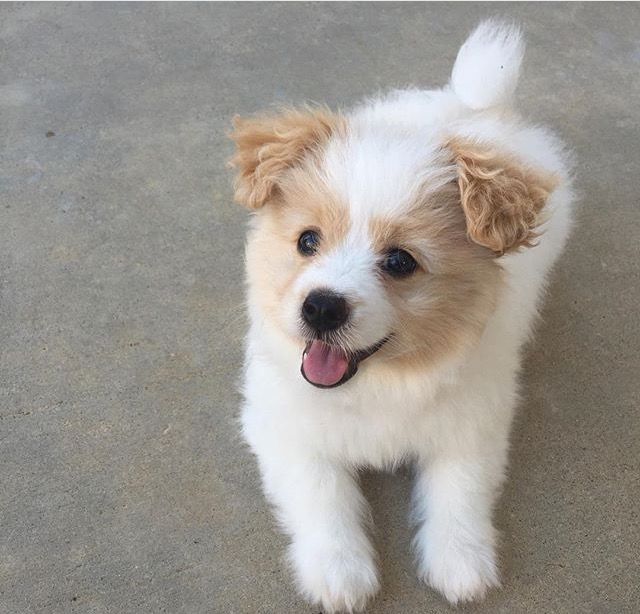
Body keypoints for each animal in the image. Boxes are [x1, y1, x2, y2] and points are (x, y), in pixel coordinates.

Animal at [230, 20, 576, 614]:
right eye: (307, 241)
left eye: (399, 262)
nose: (320, 306)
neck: (378, 383)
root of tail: (472, 104)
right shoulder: (283, 427)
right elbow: (323, 493)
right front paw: (339, 573)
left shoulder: (472, 425)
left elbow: (459, 492)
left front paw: (462, 565)